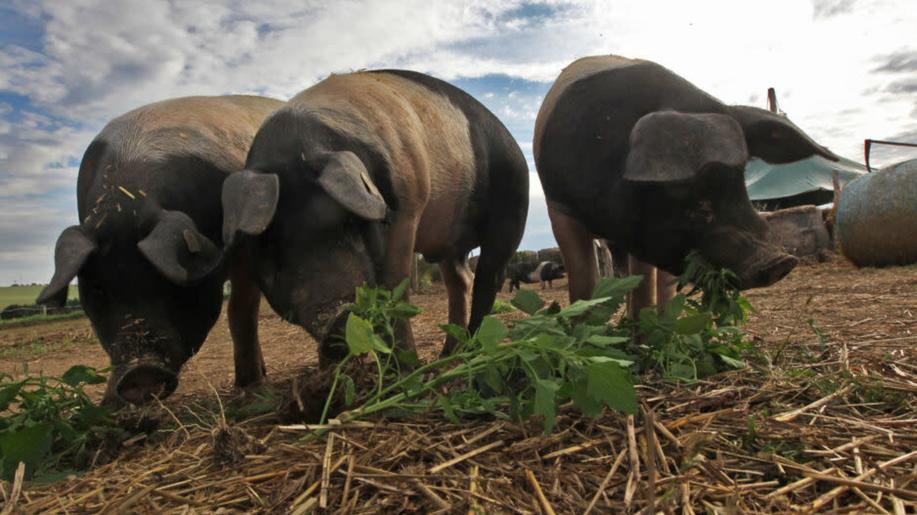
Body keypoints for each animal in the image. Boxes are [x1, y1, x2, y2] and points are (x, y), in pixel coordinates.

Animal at [38, 94, 282, 406]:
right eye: (97, 289)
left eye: (167, 283)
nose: (140, 373)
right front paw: (110, 406)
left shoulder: (244, 250)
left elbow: (240, 312)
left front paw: (252, 389)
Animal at [219, 70, 528, 362]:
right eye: (272, 244)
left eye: (349, 224)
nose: (337, 316)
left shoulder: (410, 205)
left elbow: (394, 286)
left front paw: (405, 368)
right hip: (451, 241)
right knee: (461, 280)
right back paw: (449, 353)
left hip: (511, 212)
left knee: (488, 277)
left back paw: (471, 351)